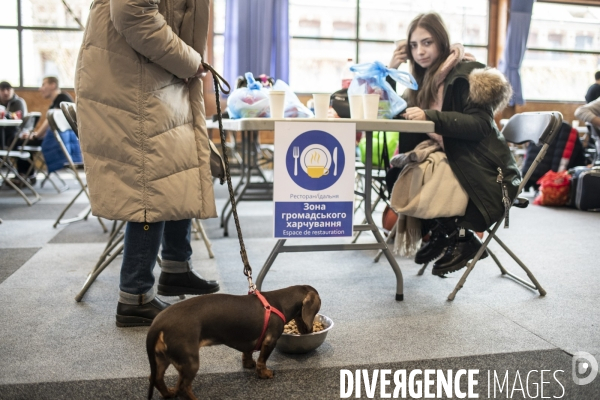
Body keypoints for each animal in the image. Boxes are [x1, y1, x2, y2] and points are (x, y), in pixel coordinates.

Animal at [146, 284, 322, 400]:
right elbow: (262, 361)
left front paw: (248, 364)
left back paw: (169, 393)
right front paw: (265, 374)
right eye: (318, 308)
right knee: (183, 388)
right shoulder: (270, 340)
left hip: (162, 358)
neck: (278, 302)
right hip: (190, 361)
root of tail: (158, 323)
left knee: (157, 379)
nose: (310, 330)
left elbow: (248, 354)